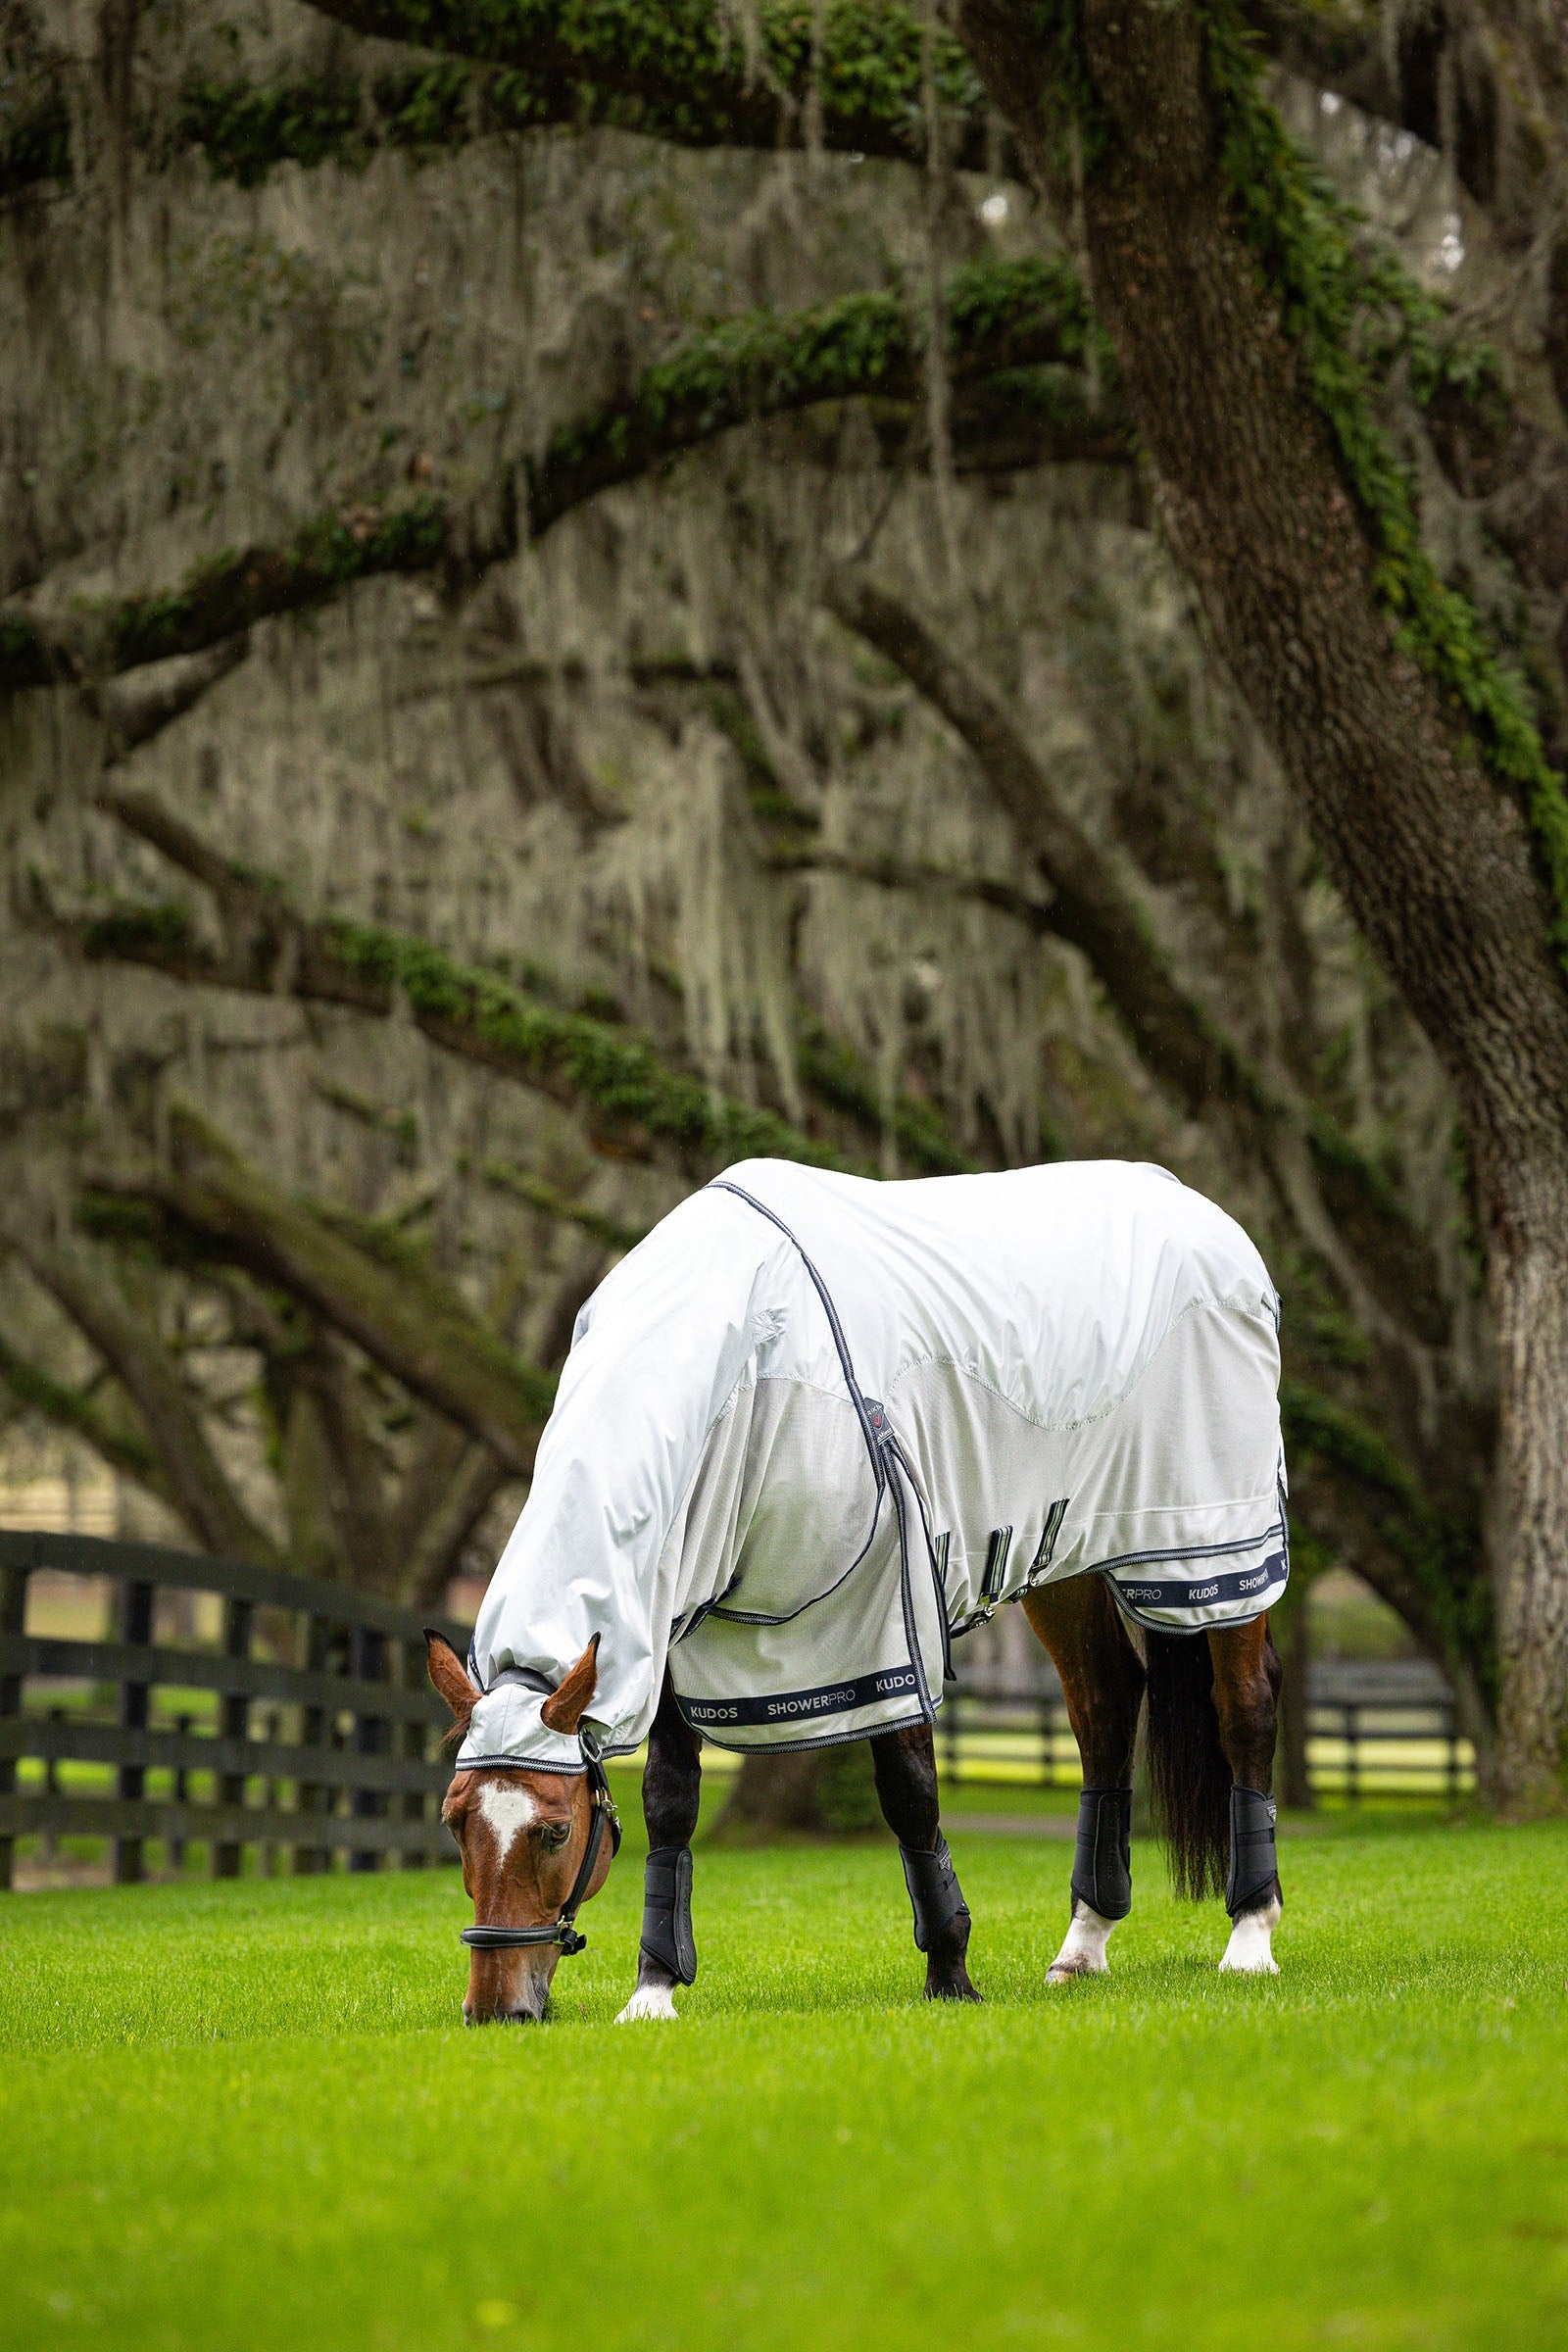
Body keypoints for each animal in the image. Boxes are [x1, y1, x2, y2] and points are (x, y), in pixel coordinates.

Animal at [425, 1156, 1288, 2023]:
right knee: (1106, 1706)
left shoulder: (882, 1623)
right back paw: (1083, 1947)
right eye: (456, 1821)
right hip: (1063, 1561)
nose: (495, 2009)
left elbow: (909, 1793)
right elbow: (670, 1801)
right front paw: (653, 1991)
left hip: (1217, 1546)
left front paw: (950, 1975)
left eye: (554, 1830)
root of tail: (1197, 1208)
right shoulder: (667, 1628)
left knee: (1244, 1704)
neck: (741, 1357)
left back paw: (1249, 1937)